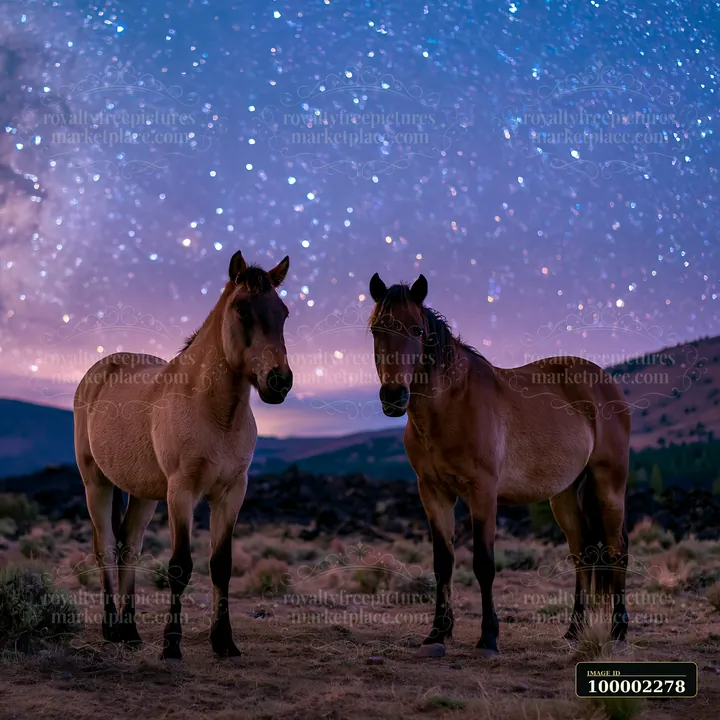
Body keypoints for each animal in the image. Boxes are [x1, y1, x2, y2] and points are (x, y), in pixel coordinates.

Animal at [74, 251, 293, 660]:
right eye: (242, 309)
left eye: (283, 312)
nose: (279, 382)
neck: (215, 413)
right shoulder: (181, 492)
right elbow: (180, 567)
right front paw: (172, 645)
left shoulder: (231, 493)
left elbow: (221, 565)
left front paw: (224, 642)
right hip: (95, 481)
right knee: (105, 546)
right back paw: (111, 628)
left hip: (143, 493)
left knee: (130, 547)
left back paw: (130, 631)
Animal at [368, 272, 631, 658]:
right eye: (376, 329)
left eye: (416, 330)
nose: (393, 397)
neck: (451, 406)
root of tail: (606, 382)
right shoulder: (433, 492)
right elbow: (443, 564)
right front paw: (436, 634)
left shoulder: (483, 493)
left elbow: (483, 564)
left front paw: (488, 638)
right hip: (564, 495)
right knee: (582, 553)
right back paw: (573, 631)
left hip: (608, 484)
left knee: (616, 550)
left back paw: (618, 631)